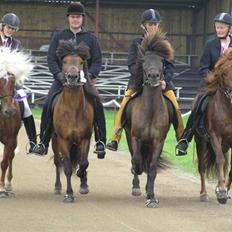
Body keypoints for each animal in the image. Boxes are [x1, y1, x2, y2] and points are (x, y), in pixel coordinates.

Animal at [52, 41, 95, 203]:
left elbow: (84, 163)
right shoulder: (63, 140)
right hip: (55, 141)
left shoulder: (85, 139)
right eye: (64, 61)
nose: (72, 77)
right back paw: (57, 187)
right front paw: (69, 194)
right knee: (58, 162)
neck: (73, 110)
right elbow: (68, 167)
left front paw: (83, 182)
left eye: (81, 62)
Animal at [124, 31, 173, 208]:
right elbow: (137, 160)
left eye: (162, 61)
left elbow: (152, 168)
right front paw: (137, 179)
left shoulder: (158, 141)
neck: (150, 110)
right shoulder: (135, 137)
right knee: (135, 157)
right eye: (143, 61)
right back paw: (137, 186)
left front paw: (151, 197)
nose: (153, 76)